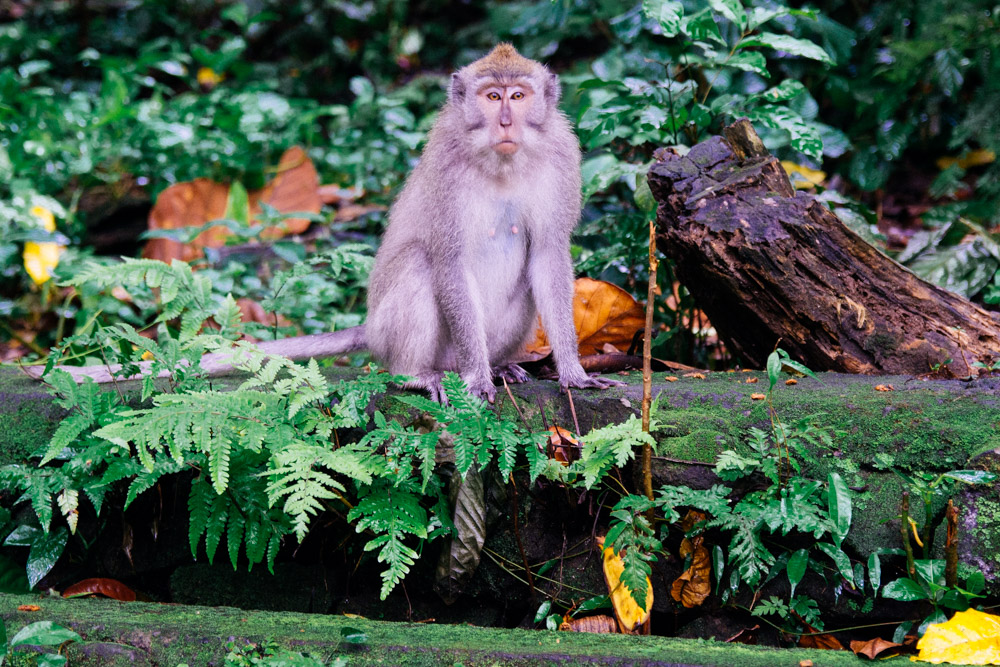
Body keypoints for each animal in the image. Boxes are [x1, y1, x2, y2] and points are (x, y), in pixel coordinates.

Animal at [36, 44, 624, 402]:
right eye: (492, 95)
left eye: (518, 96)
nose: (505, 121)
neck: (502, 161)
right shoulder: (448, 168)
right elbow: (448, 257)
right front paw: (478, 379)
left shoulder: (561, 159)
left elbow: (548, 254)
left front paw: (572, 372)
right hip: (401, 337)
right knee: (419, 266)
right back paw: (422, 374)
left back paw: (501, 364)